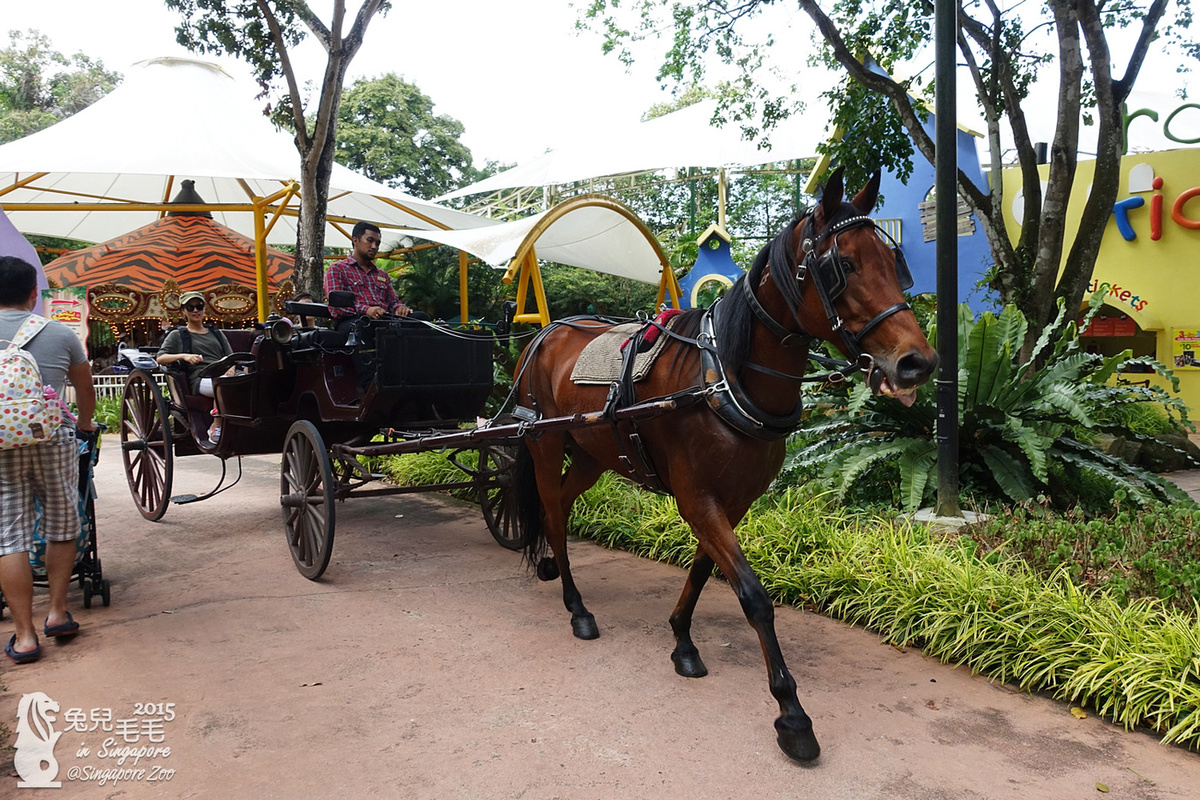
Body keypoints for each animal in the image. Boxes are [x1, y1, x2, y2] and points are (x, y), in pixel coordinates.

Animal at [506, 169, 936, 762]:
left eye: (895, 264)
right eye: (843, 265)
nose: (917, 362)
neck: (724, 379)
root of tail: (546, 332)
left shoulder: (733, 500)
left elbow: (705, 569)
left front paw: (682, 640)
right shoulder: (697, 498)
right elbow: (753, 596)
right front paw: (791, 713)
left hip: (594, 453)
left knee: (563, 509)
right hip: (544, 445)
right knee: (551, 510)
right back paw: (577, 607)